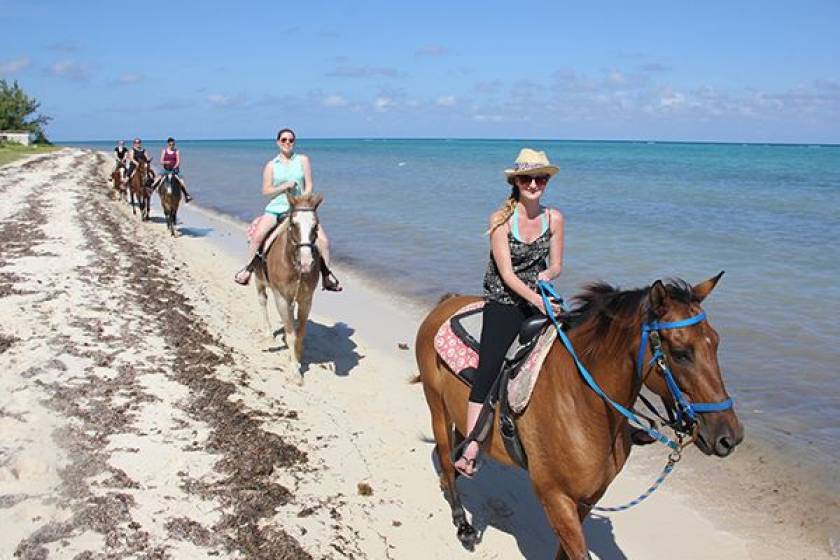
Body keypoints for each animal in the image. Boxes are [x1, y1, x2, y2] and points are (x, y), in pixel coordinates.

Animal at [253, 191, 324, 376]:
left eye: (316, 225)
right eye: (293, 224)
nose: (306, 263)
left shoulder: (306, 299)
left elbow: (300, 332)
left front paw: (296, 357)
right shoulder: (281, 298)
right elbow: (291, 333)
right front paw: (294, 371)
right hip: (259, 280)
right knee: (262, 301)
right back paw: (268, 334)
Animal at [414, 272, 740, 556]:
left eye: (716, 342)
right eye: (681, 353)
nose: (730, 437)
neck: (581, 403)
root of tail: (447, 303)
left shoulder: (587, 500)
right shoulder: (556, 499)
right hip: (436, 405)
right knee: (445, 455)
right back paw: (463, 525)